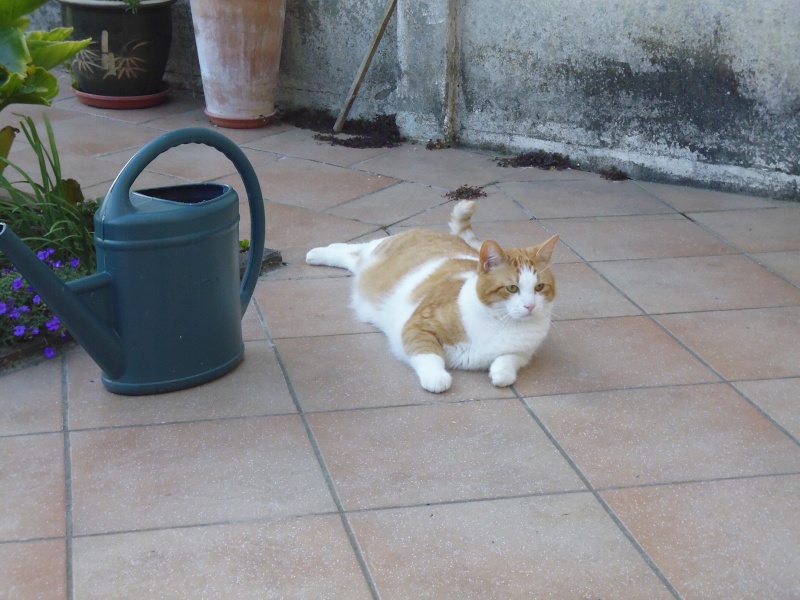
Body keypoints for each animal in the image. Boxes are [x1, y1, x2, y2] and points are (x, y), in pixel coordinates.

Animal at [304, 202, 560, 394]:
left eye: (539, 287)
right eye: (512, 288)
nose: (530, 306)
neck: (503, 324)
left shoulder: (523, 352)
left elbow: (507, 362)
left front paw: (500, 372)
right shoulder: (419, 325)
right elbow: (429, 354)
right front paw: (437, 377)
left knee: (353, 256)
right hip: (377, 249)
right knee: (353, 248)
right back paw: (318, 253)